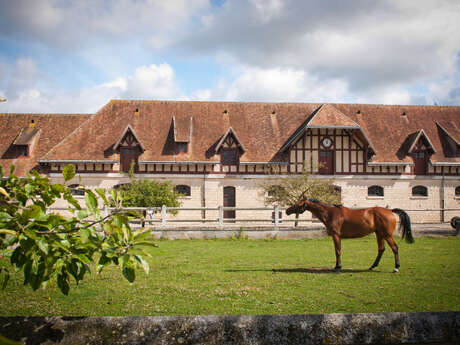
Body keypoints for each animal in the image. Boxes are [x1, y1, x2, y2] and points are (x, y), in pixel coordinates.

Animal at [284, 199, 414, 272]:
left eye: (297, 204)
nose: (286, 211)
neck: (331, 213)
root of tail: (390, 211)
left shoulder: (336, 236)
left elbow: (337, 251)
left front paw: (338, 267)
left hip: (387, 235)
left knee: (394, 248)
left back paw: (396, 267)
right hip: (379, 234)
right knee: (381, 249)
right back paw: (372, 266)